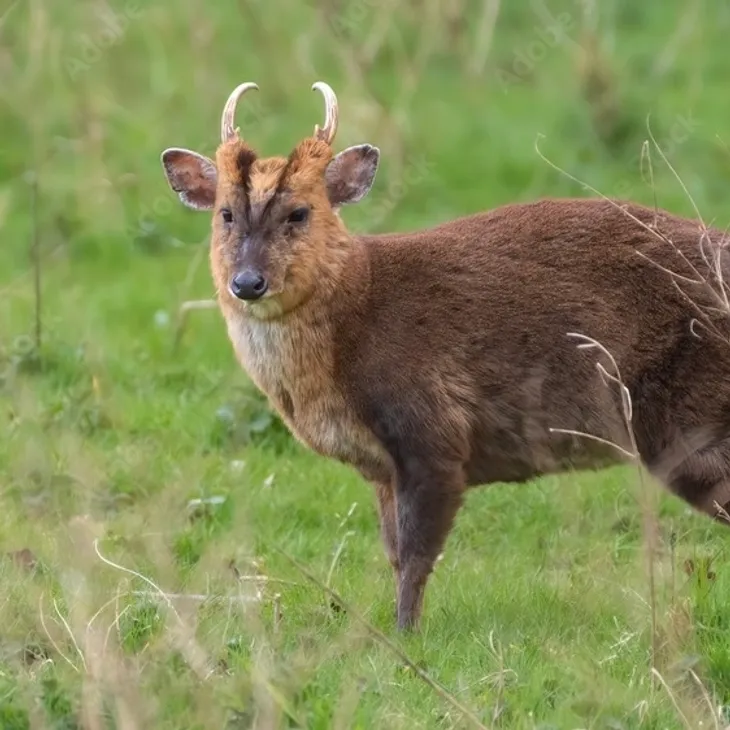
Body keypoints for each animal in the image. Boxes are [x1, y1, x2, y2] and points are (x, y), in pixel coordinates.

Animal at [161, 80, 730, 630]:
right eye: (225, 214)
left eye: (299, 212)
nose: (247, 282)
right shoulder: (381, 469)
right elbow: (393, 552)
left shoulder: (432, 432)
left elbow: (416, 555)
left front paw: (404, 636)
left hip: (692, 420)